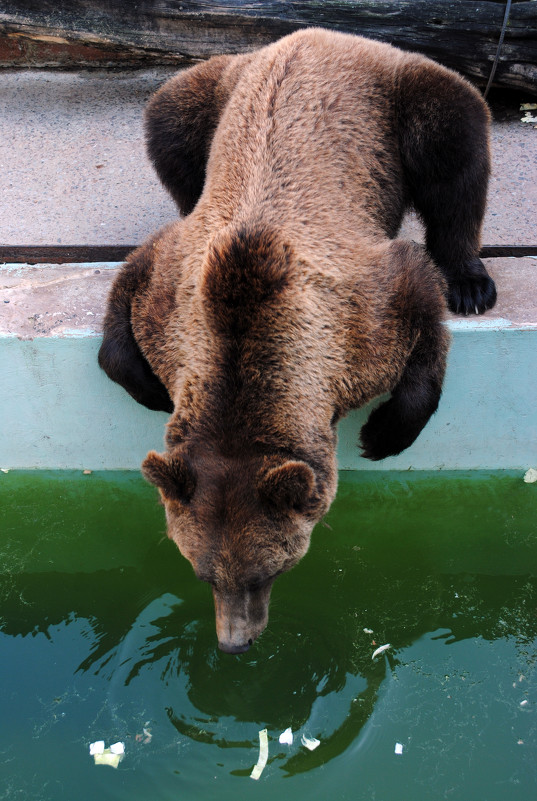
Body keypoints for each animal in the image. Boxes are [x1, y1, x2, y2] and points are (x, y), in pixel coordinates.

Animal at [97, 26, 494, 648]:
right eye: (201, 571)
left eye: (268, 571)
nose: (234, 642)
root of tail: (322, 34)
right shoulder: (178, 283)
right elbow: (131, 294)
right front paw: (152, 388)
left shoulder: (360, 306)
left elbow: (421, 304)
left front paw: (382, 433)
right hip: (217, 87)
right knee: (169, 124)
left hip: (397, 92)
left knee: (454, 138)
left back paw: (471, 281)